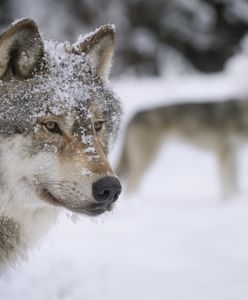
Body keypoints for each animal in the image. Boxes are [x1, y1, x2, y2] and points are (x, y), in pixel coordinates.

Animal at [116, 99, 248, 199]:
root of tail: (135, 114)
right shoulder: (223, 153)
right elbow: (226, 182)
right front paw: (227, 201)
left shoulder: (233, 154)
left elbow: (233, 181)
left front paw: (235, 199)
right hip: (147, 159)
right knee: (131, 185)